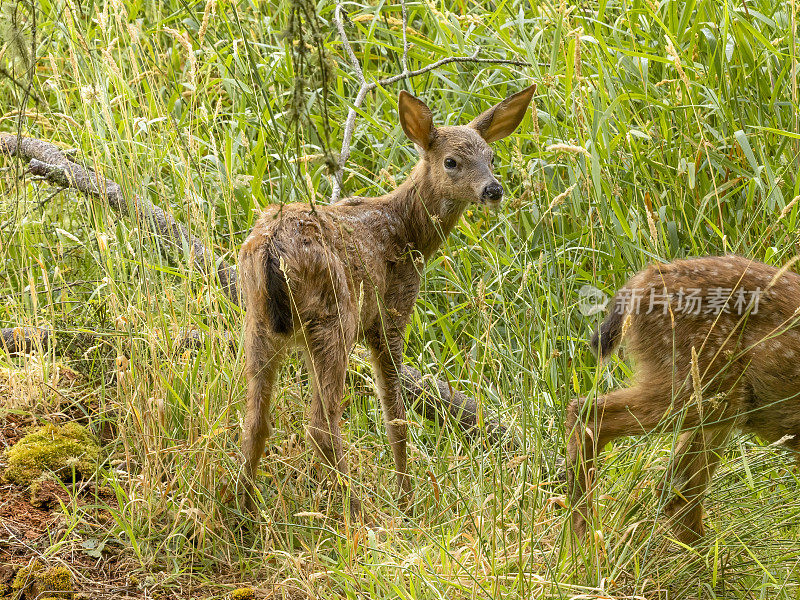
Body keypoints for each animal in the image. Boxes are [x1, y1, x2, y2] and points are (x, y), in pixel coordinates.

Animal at [238, 84, 536, 520]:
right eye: (451, 161)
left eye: (492, 157)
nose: (493, 190)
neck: (408, 231)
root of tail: (271, 250)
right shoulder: (390, 315)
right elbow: (395, 413)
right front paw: (407, 500)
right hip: (335, 319)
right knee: (320, 424)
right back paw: (358, 512)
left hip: (258, 323)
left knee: (255, 421)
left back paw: (242, 509)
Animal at [564, 255, 800, 548]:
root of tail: (643, 281)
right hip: (701, 384)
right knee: (589, 415)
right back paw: (584, 545)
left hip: (719, 401)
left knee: (676, 490)